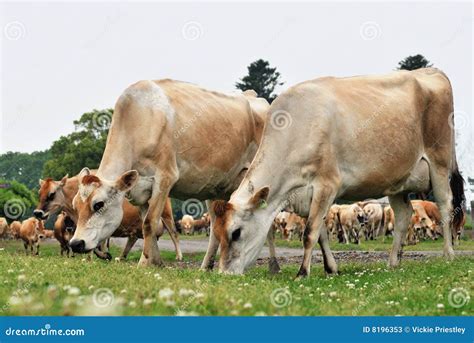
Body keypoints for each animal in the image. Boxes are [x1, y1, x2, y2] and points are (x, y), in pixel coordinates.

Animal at [34, 173, 182, 262]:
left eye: (52, 194)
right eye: (39, 193)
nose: (37, 213)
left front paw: (98, 256)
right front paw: (103, 255)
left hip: (166, 214)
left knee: (173, 233)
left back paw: (178, 256)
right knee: (136, 238)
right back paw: (122, 257)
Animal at [66, 79, 276, 272]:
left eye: (98, 204)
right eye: (75, 206)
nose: (76, 243)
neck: (139, 120)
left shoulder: (165, 177)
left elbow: (149, 223)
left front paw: (144, 263)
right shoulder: (141, 191)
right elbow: (147, 223)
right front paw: (155, 261)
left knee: (268, 225)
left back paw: (273, 266)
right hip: (217, 188)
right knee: (216, 228)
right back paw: (205, 266)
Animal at [211, 68, 462, 276]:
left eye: (236, 233)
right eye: (218, 233)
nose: (224, 273)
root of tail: (430, 71)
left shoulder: (327, 184)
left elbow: (310, 233)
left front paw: (302, 272)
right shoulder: (310, 196)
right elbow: (321, 233)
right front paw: (331, 268)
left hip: (439, 163)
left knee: (445, 206)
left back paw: (448, 254)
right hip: (398, 179)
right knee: (403, 215)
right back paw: (393, 262)